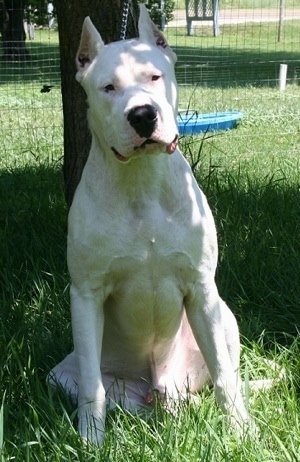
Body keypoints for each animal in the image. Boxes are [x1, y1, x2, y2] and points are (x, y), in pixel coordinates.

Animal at [48, 3, 251, 444]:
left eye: (155, 77)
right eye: (108, 88)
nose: (143, 115)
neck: (141, 182)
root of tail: (160, 389)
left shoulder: (201, 287)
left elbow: (225, 376)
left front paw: (242, 432)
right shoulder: (86, 295)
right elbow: (92, 387)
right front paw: (91, 441)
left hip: (223, 317)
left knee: (222, 375)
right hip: (64, 374)